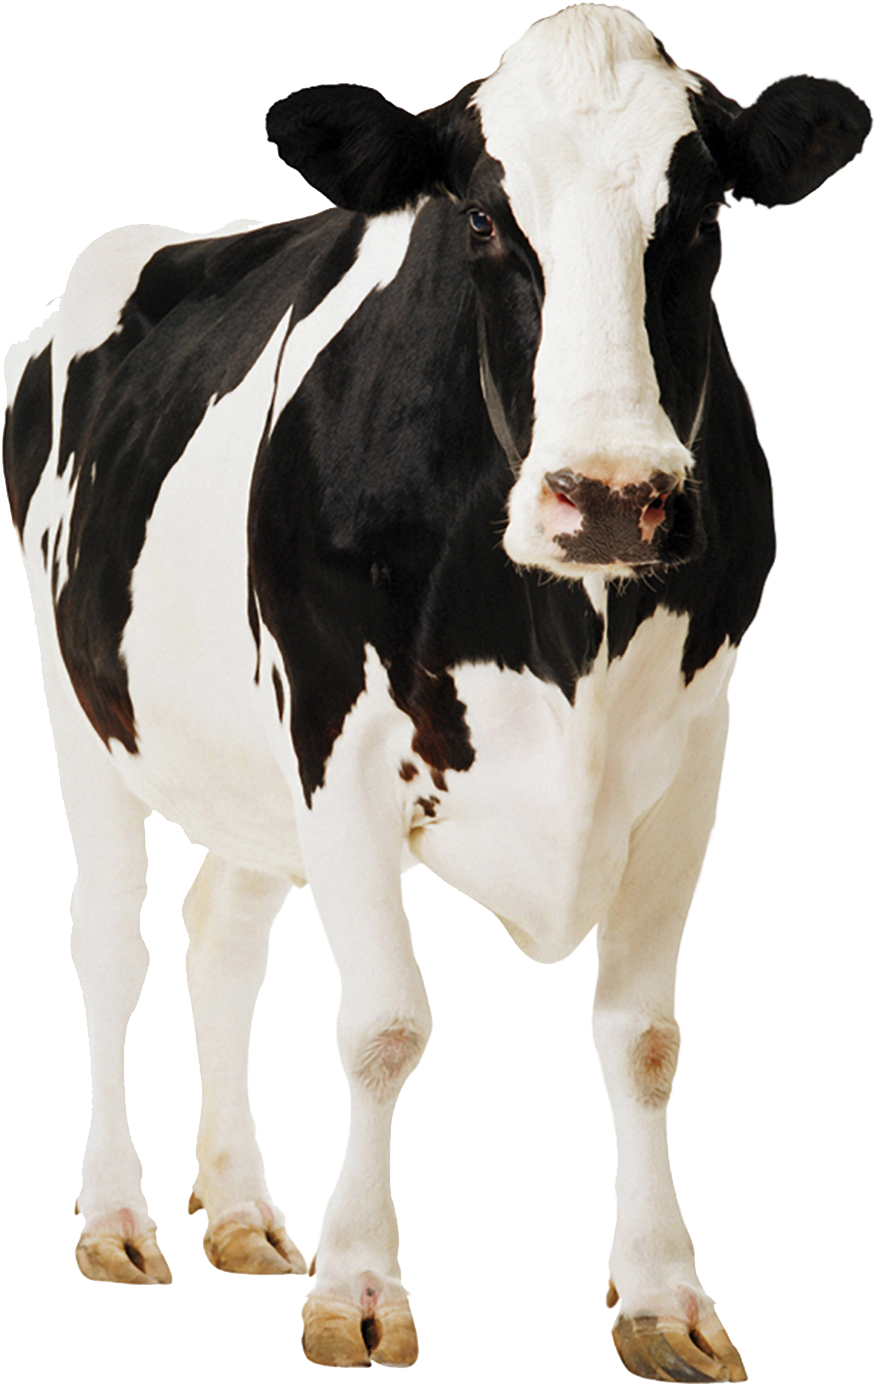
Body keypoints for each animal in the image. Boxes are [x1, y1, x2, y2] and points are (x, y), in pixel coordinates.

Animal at [3, 2, 870, 1377]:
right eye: (478, 219)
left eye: (700, 217)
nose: (612, 494)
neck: (561, 627)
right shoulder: (339, 738)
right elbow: (383, 1024)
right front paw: (361, 1285)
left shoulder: (694, 754)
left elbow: (644, 1034)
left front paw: (665, 1295)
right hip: (78, 697)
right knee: (109, 937)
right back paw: (118, 1218)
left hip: (253, 772)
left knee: (220, 931)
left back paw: (241, 1208)